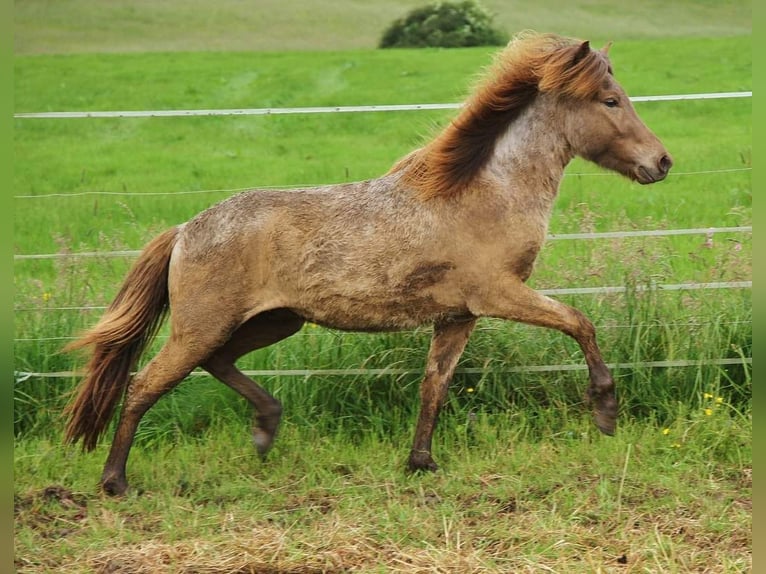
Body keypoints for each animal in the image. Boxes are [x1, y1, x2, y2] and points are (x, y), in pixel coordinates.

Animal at [69, 32, 676, 500]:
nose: (663, 161)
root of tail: (184, 231)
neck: (489, 191)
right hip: (203, 325)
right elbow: (580, 322)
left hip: (273, 321)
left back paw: (266, 429)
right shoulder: (499, 295)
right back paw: (115, 482)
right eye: (610, 100)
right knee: (144, 385)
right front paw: (606, 411)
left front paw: (421, 462)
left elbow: (435, 386)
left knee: (218, 363)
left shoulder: (457, 317)